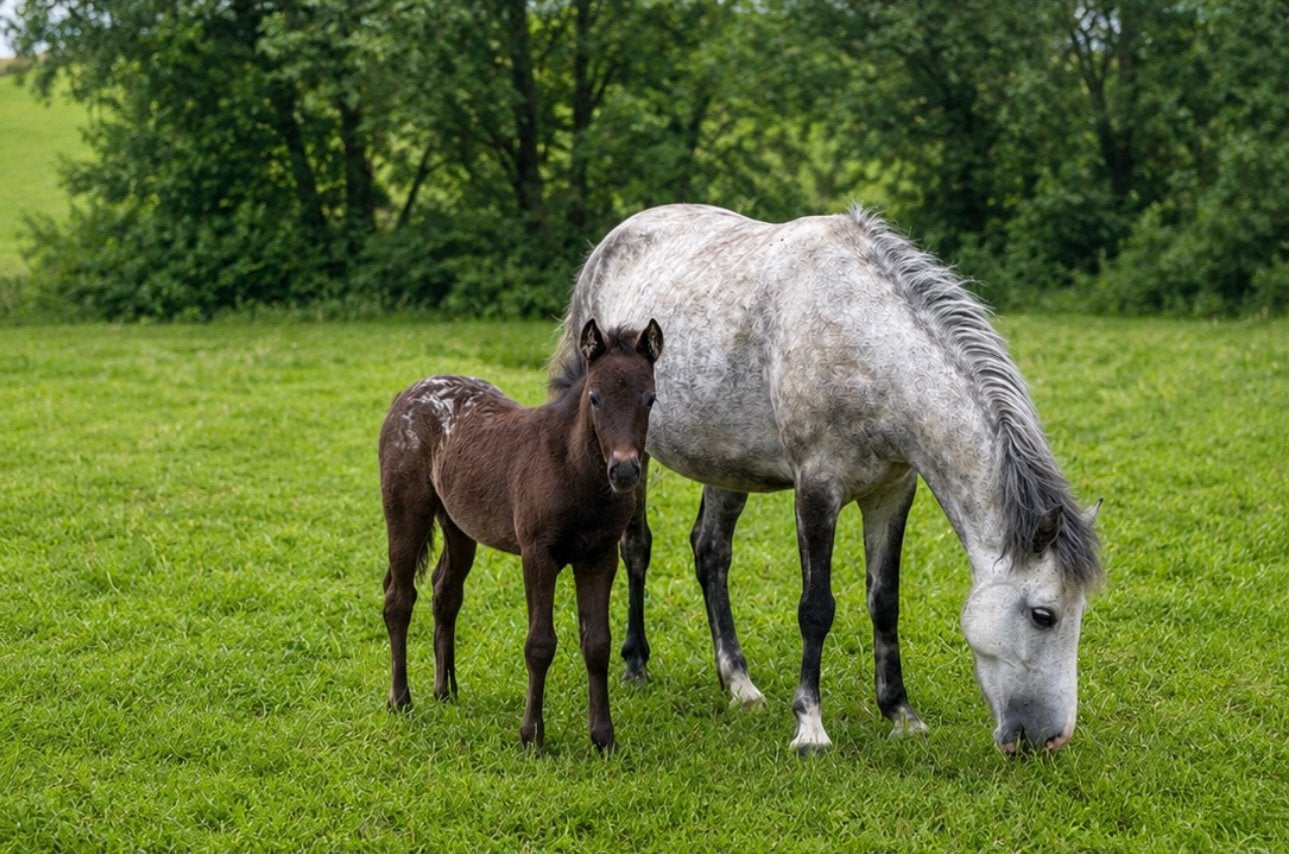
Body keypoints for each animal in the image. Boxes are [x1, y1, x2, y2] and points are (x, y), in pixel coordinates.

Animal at [379, 319, 664, 752]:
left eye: (650, 399)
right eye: (595, 398)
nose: (626, 471)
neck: (574, 470)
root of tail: (407, 393)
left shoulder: (599, 557)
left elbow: (597, 643)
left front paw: (604, 738)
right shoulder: (538, 555)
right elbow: (540, 644)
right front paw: (532, 737)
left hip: (458, 524)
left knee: (445, 592)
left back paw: (445, 691)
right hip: (406, 512)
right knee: (399, 597)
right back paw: (401, 699)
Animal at [551, 204, 1103, 755]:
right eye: (1044, 615)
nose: (1050, 739)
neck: (865, 346)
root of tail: (611, 243)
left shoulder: (892, 493)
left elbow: (885, 602)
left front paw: (900, 713)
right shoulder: (817, 490)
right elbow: (816, 608)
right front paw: (810, 727)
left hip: (725, 465)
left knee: (710, 553)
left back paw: (739, 684)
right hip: (633, 459)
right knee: (637, 547)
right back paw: (635, 664)